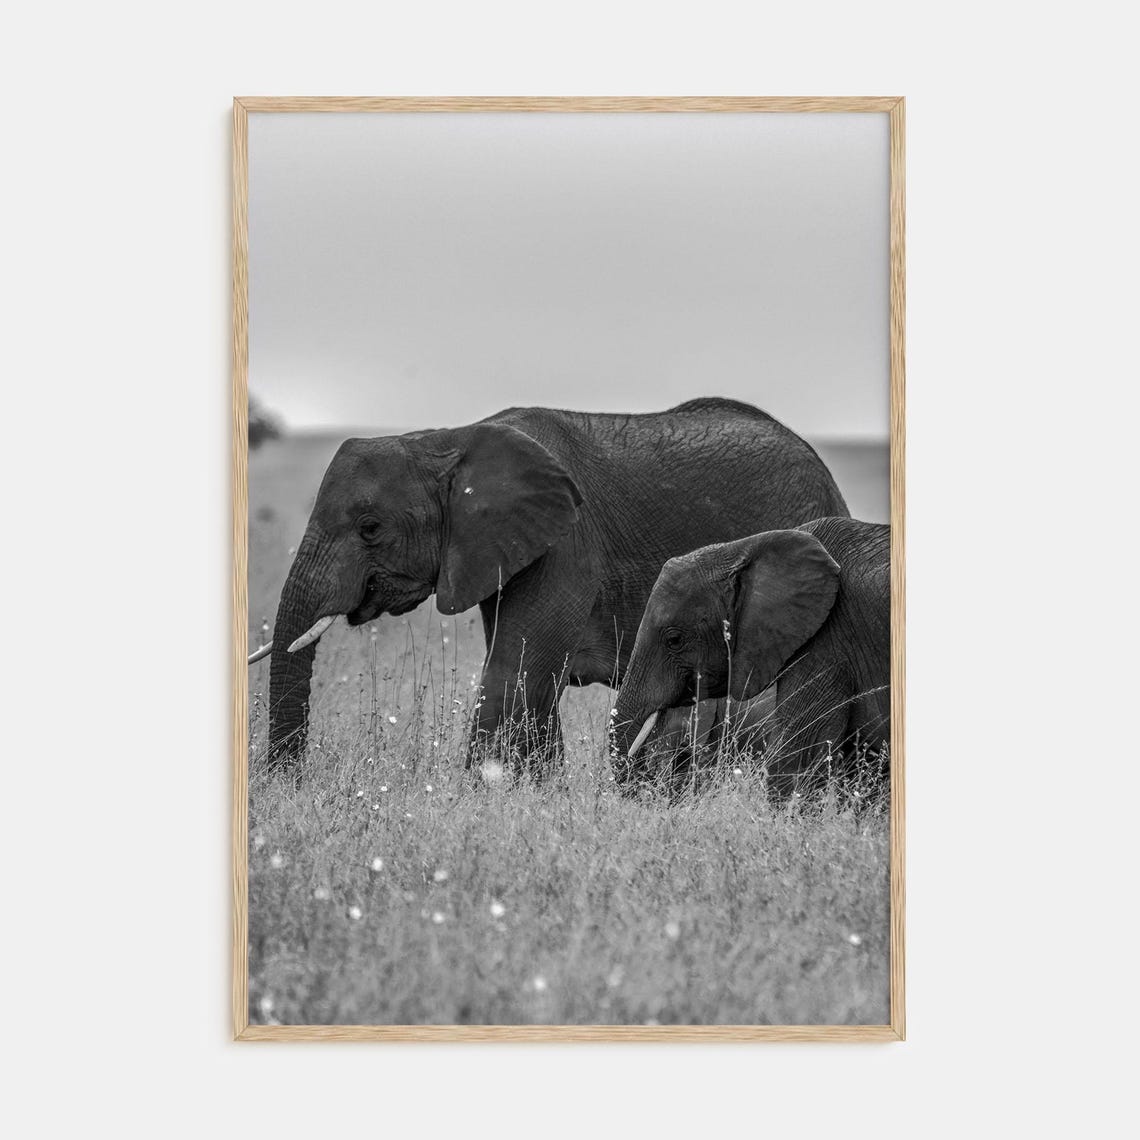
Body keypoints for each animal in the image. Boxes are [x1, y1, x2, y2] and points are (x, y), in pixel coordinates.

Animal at [255, 398, 849, 773]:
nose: (291, 785)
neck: (446, 440)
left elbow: (513, 674)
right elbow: (530, 682)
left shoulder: (564, 544)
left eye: (369, 528)